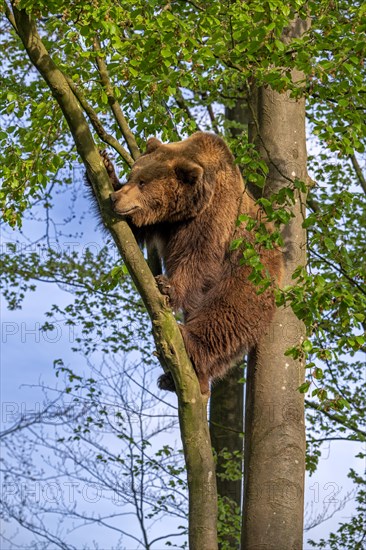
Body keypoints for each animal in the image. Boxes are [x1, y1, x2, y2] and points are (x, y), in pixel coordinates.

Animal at [106, 132, 284, 394]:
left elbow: (196, 260)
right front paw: (106, 168)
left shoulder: (214, 218)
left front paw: (167, 286)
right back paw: (175, 378)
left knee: (230, 312)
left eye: (143, 182)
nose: (116, 199)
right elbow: (132, 230)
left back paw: (189, 343)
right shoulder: (163, 222)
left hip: (252, 271)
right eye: (132, 176)